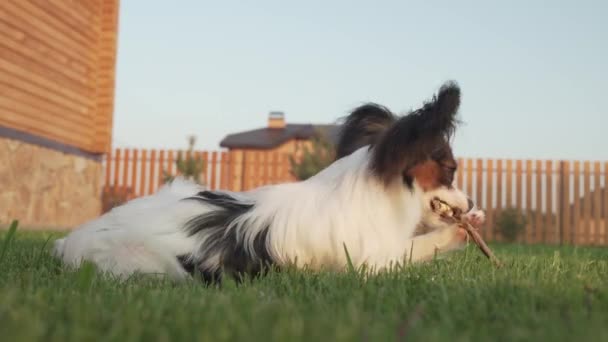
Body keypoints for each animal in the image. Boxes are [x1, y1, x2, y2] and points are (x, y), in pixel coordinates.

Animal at [54, 81, 486, 282]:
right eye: (451, 170)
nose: (470, 202)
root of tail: (72, 241)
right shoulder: (370, 262)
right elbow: (421, 246)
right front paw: (460, 231)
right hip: (154, 265)